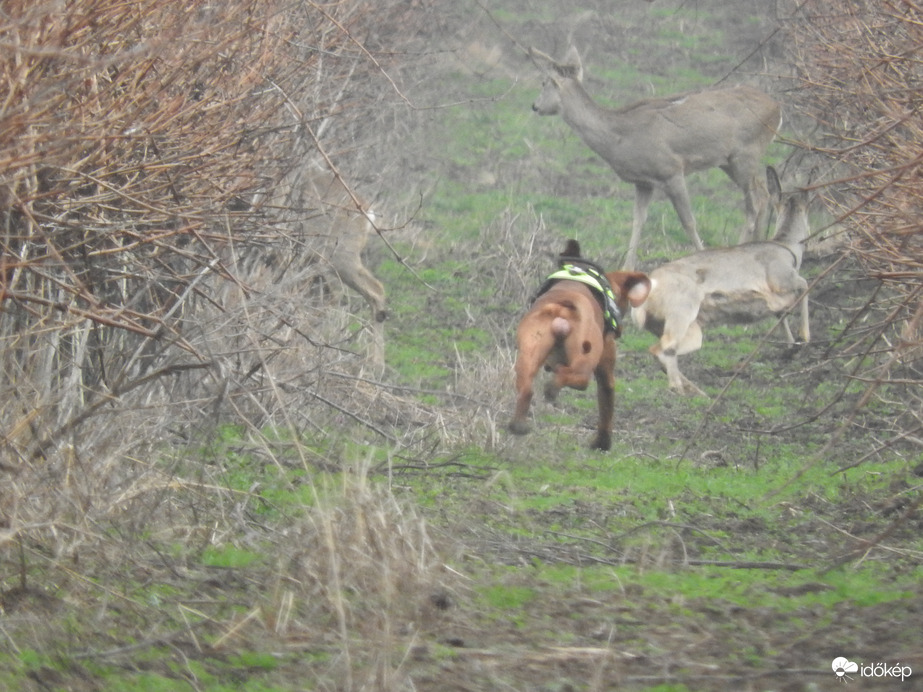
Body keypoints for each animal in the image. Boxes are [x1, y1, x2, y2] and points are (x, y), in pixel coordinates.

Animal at [508, 241, 652, 452]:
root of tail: (563, 307)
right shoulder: (606, 371)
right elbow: (606, 408)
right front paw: (602, 443)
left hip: (529, 354)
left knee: (527, 389)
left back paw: (518, 424)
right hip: (586, 360)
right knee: (574, 378)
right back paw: (552, 388)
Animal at [532, 46, 784, 270]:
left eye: (544, 83)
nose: (534, 106)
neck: (620, 136)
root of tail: (777, 108)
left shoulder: (671, 170)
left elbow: (688, 221)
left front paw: (701, 257)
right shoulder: (643, 182)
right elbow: (638, 221)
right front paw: (627, 267)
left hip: (746, 152)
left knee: (754, 204)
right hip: (729, 161)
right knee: (763, 193)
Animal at [632, 165, 812, 398]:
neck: (787, 247)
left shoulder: (779, 301)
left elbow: (782, 316)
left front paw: (791, 348)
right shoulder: (781, 279)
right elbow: (806, 285)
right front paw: (804, 337)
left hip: (675, 328)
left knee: (662, 351)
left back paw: (698, 392)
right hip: (682, 316)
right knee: (662, 350)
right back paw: (679, 390)